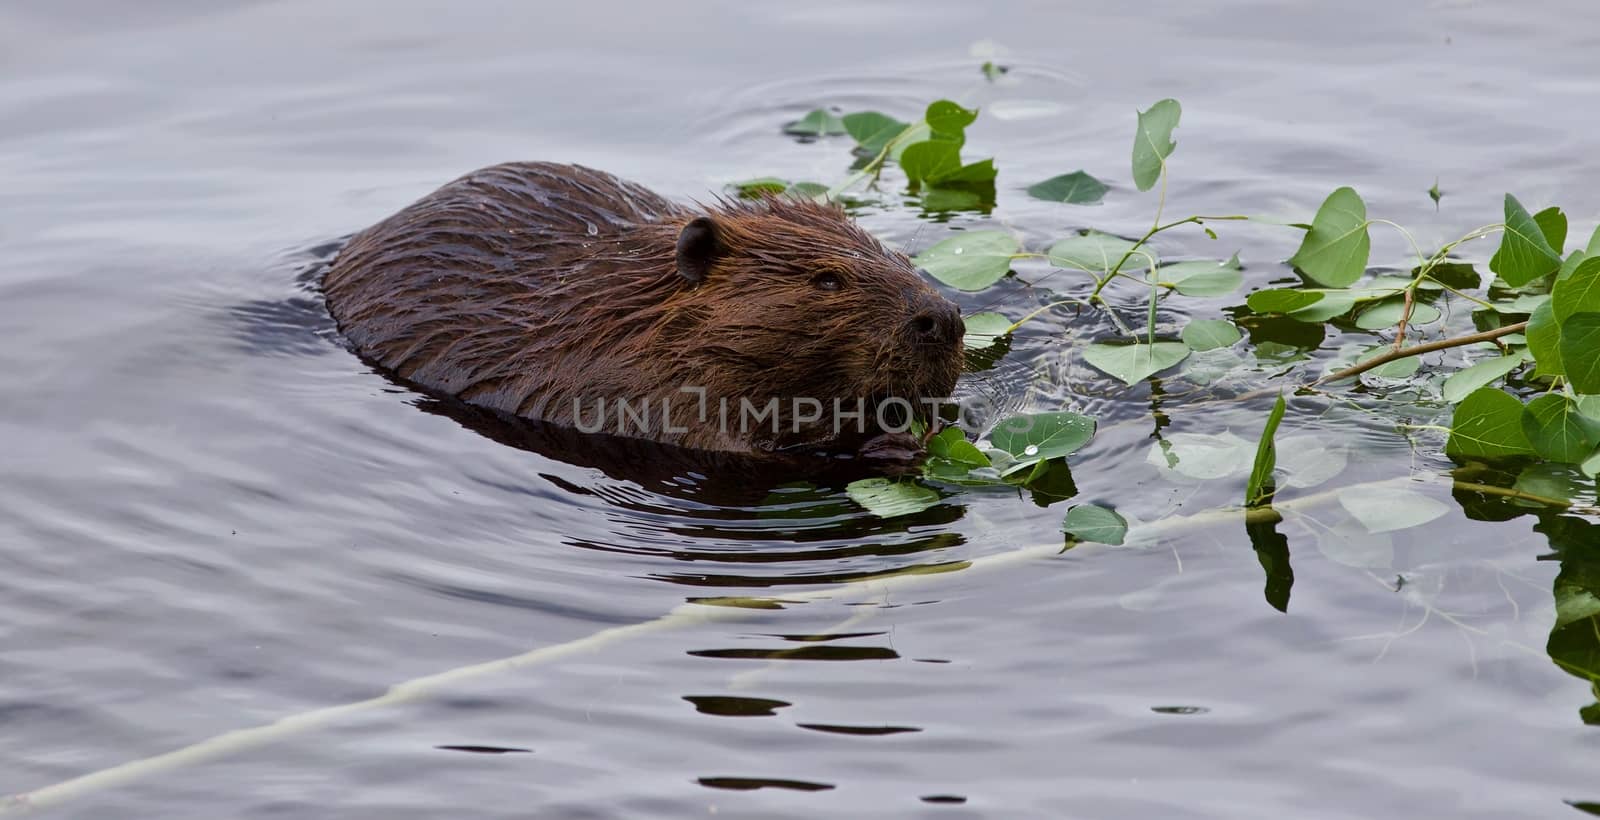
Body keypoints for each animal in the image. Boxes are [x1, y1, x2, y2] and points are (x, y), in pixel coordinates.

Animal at [318, 163, 953, 464]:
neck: (628, 318)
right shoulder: (626, 389)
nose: (943, 321)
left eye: (900, 256)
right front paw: (886, 444)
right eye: (826, 279)